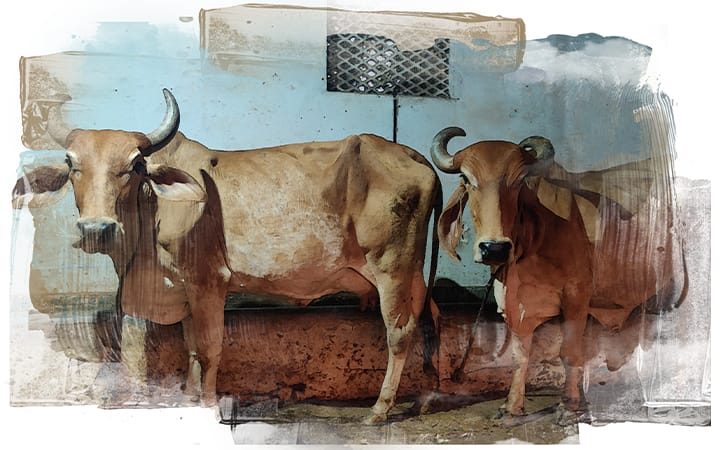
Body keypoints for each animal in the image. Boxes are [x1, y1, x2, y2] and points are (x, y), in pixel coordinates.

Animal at [12, 89, 442, 424]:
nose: (96, 229)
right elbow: (189, 348)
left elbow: (208, 348)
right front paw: (186, 398)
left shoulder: (208, 281)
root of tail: (413, 155)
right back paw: (426, 398)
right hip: (411, 275)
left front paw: (204, 403)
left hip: (391, 267)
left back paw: (380, 409)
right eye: (71, 164)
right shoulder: (184, 290)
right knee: (429, 317)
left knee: (399, 333)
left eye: (134, 165)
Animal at [429, 126, 684, 419]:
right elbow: (520, 355)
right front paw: (512, 406)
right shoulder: (516, 304)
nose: (494, 248)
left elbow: (570, 352)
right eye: (466, 178)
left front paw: (569, 405)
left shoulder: (576, 294)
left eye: (519, 180)